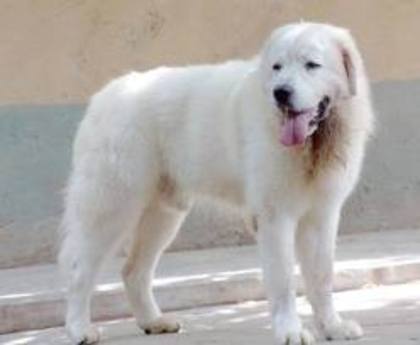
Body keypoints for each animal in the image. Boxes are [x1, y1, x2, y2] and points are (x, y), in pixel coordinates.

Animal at [59, 22, 374, 342]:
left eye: (312, 65)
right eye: (277, 67)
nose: (281, 93)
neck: (314, 143)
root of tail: (106, 94)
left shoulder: (322, 214)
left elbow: (322, 276)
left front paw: (332, 326)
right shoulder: (275, 216)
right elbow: (284, 279)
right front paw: (291, 332)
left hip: (163, 214)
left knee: (134, 270)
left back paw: (154, 321)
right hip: (113, 204)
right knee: (79, 268)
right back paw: (79, 329)